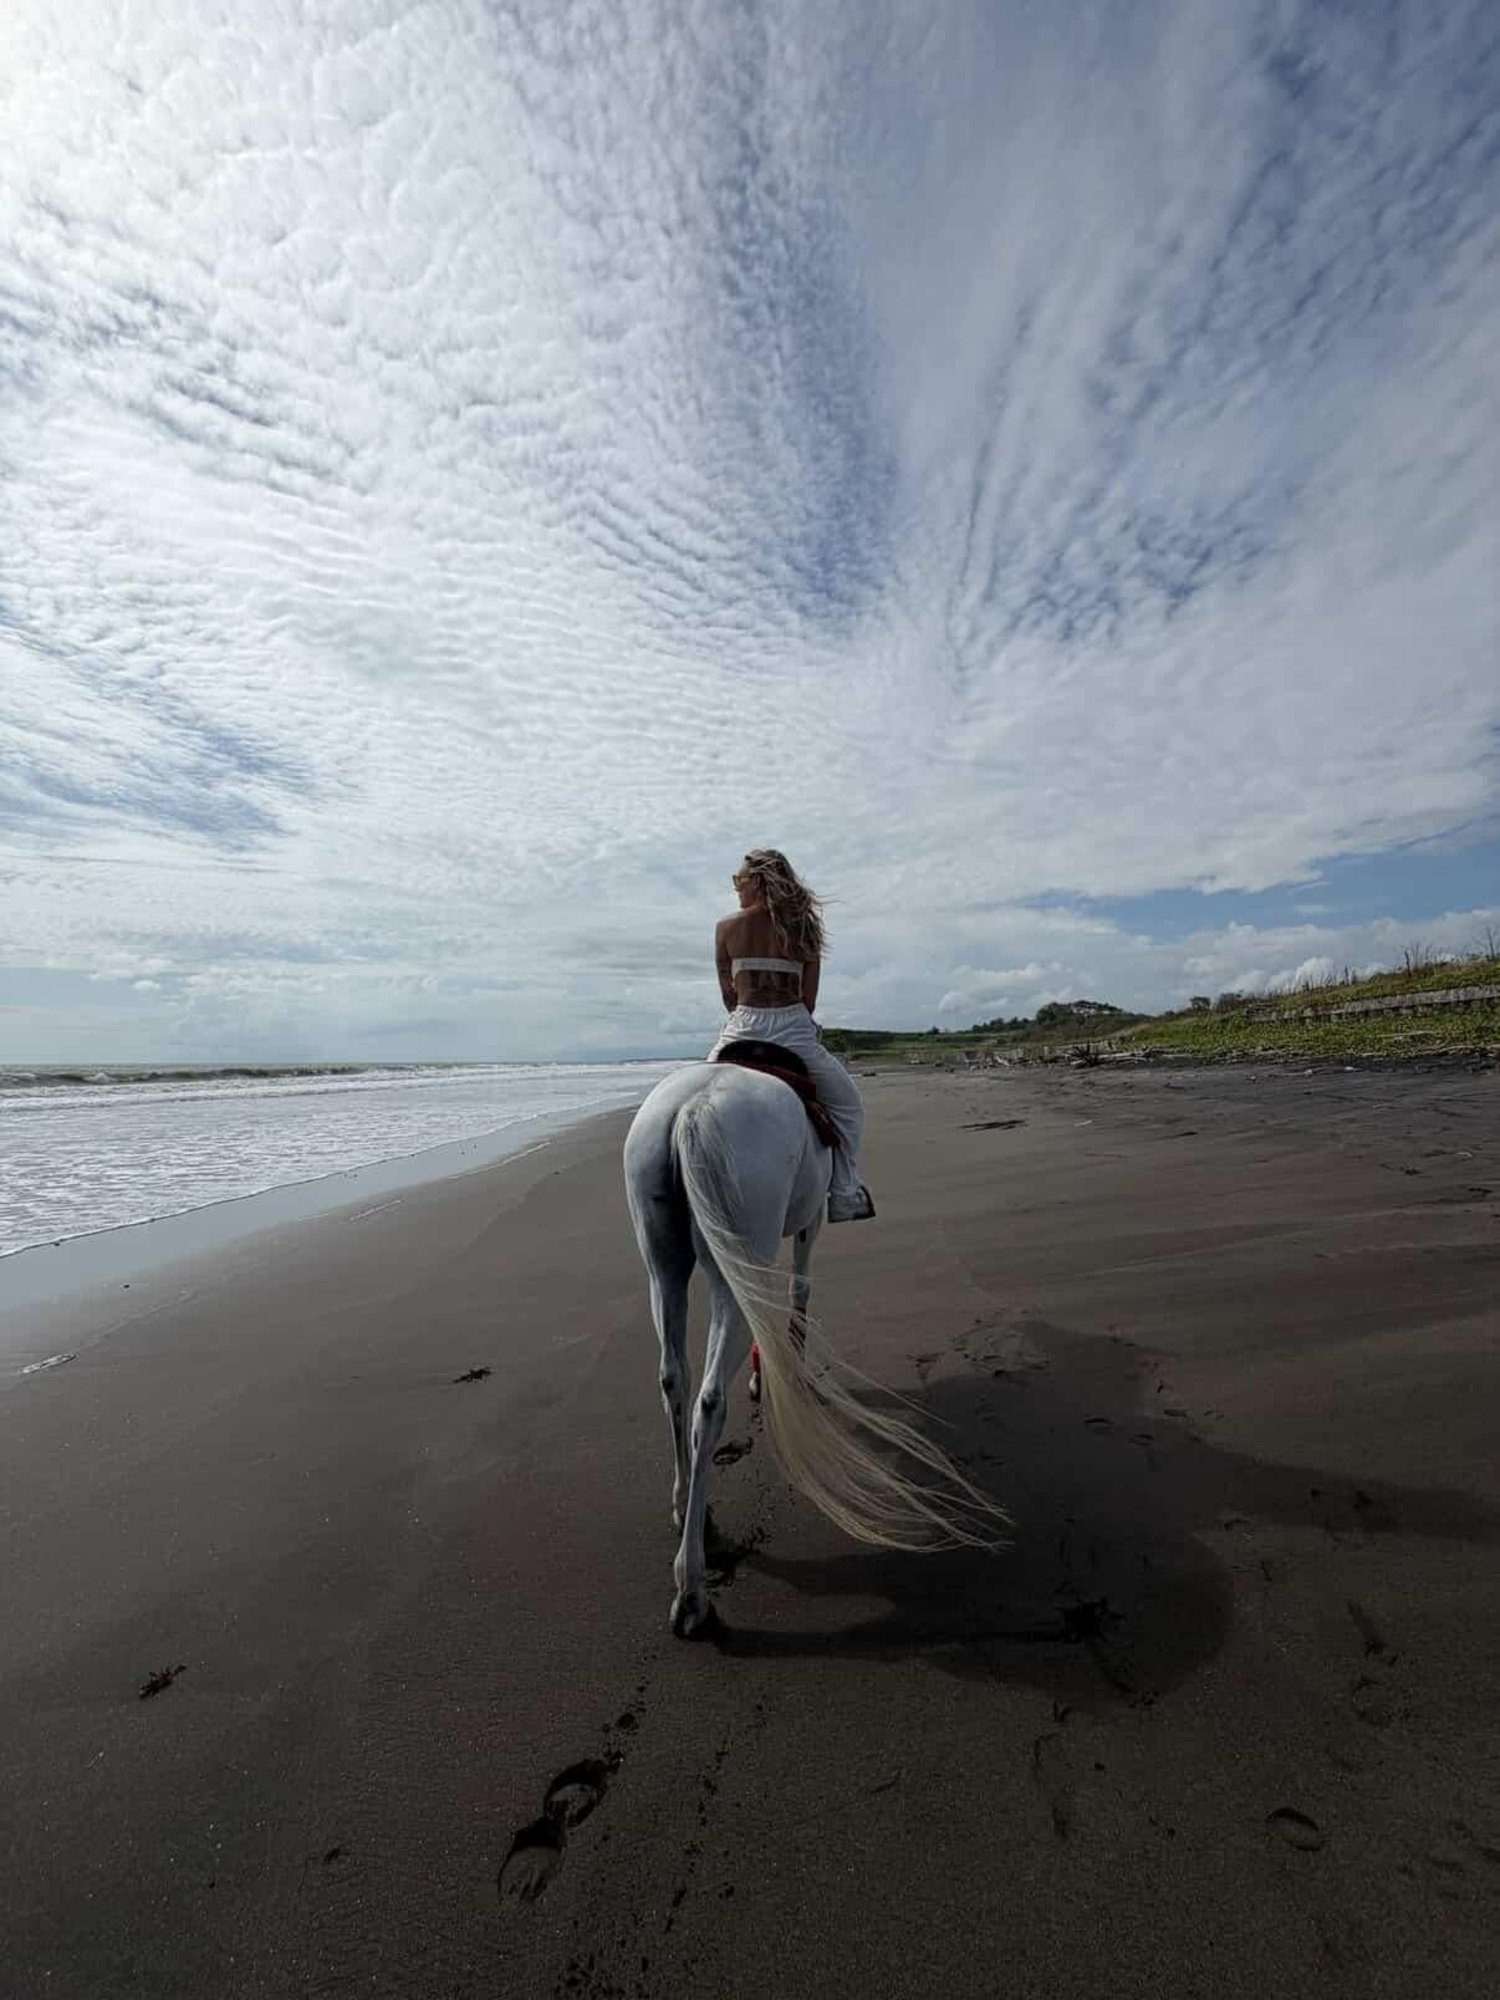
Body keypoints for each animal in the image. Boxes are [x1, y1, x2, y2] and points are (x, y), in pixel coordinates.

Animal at [623, 1060, 1010, 1637]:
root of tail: (694, 1108)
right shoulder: (809, 1224)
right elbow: (799, 1291)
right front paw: (785, 1375)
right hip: (735, 1257)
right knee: (709, 1400)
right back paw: (692, 1588)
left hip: (663, 1263)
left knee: (674, 1379)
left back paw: (691, 1514)